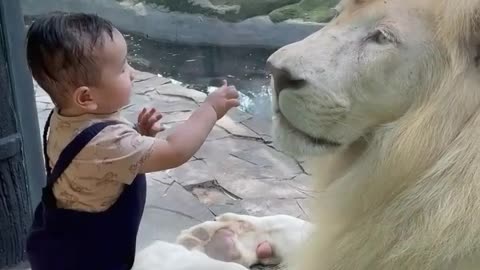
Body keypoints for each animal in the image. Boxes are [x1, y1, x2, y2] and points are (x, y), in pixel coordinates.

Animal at [133, 0, 480, 268]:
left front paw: (168, 254)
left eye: (381, 37)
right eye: (338, 12)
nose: (275, 72)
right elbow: (303, 228)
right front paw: (225, 235)